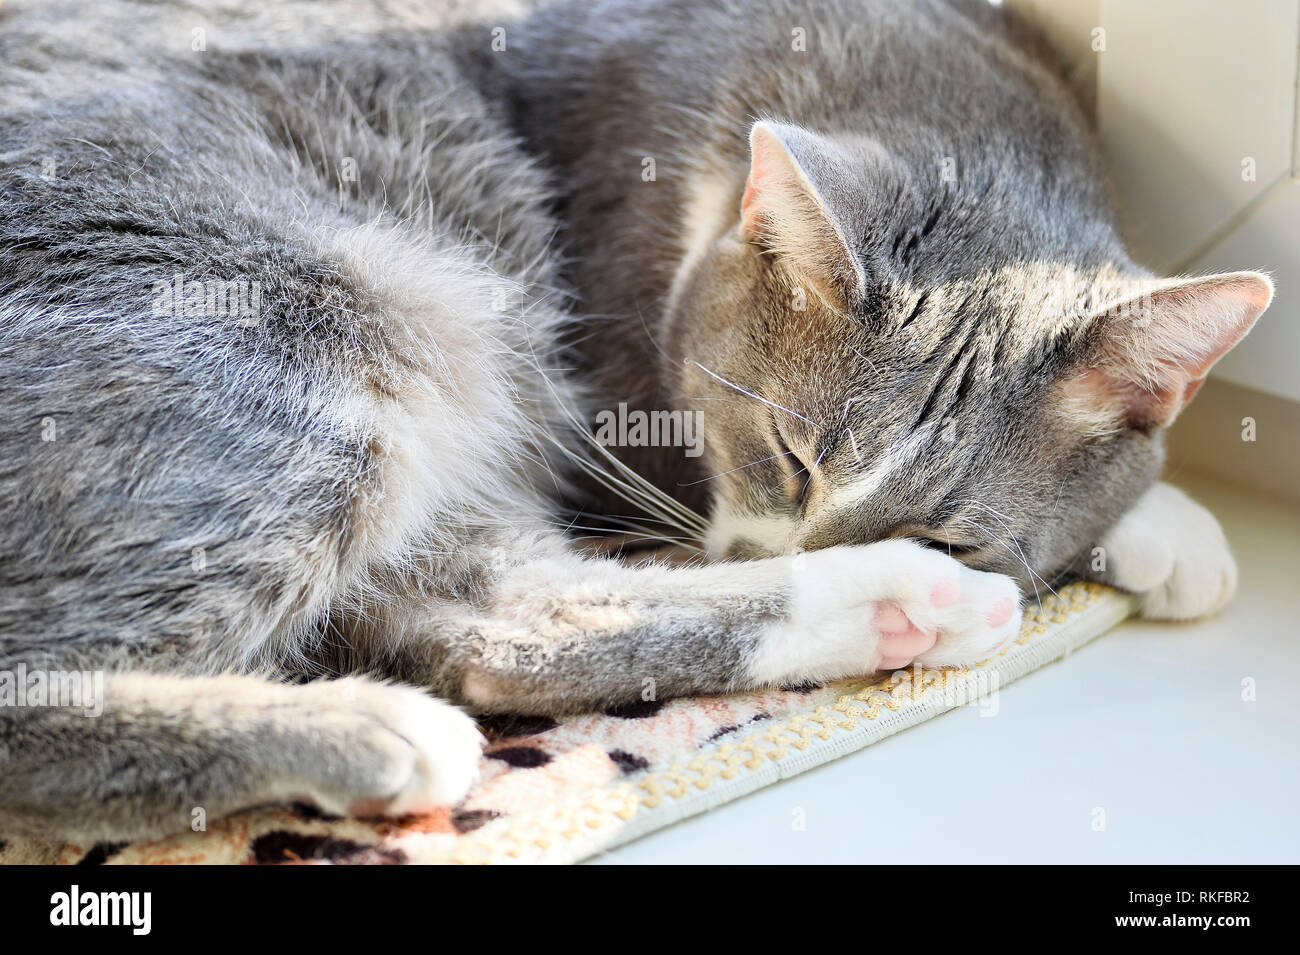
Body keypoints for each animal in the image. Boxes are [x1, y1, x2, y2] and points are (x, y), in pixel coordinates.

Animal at [0, 0, 1268, 841]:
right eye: (786, 457)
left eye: (950, 526)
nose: (928, 558)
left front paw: (1157, 522)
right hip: (353, 320)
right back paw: (377, 732)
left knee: (493, 624)